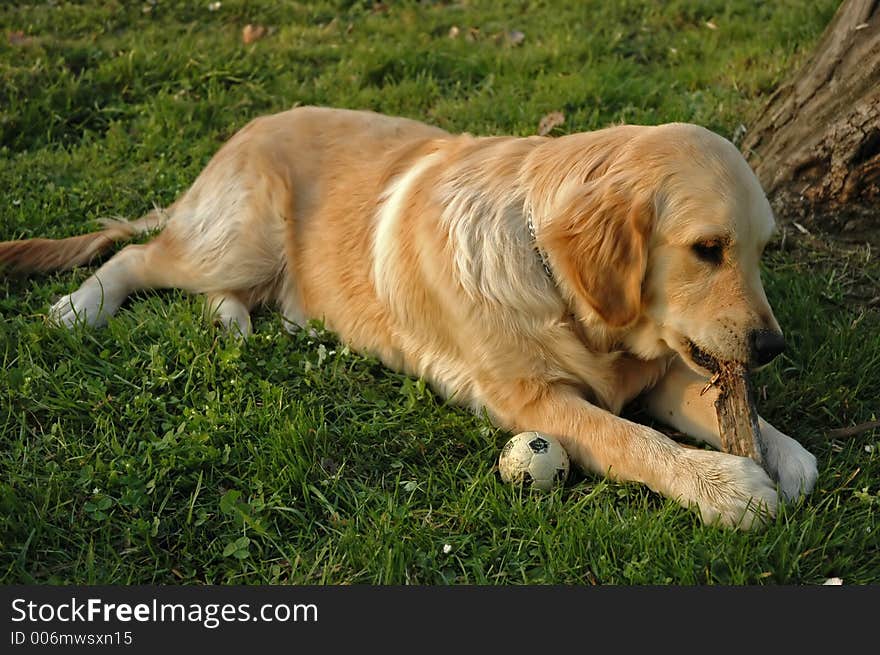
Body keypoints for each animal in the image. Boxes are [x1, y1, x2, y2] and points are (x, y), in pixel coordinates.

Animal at [0, 106, 820, 528]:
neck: (569, 300)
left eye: (760, 249)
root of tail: (236, 135)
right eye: (707, 249)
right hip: (242, 232)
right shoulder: (531, 399)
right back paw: (79, 307)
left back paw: (247, 323)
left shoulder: (655, 373)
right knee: (139, 255)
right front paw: (725, 485)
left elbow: (711, 406)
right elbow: (631, 439)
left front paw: (781, 452)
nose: (773, 346)